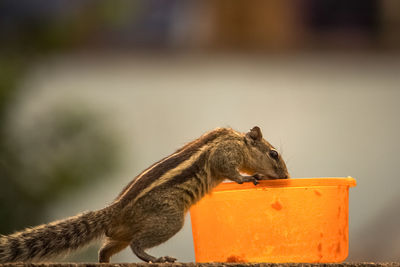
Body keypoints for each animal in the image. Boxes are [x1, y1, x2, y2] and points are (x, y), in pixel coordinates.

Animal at [0, 127, 288, 264]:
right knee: (138, 245)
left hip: (123, 233)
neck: (237, 140)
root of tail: (115, 209)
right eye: (273, 153)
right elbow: (229, 169)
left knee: (107, 248)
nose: (285, 175)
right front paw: (248, 178)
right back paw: (158, 259)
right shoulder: (225, 153)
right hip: (169, 221)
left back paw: (106, 262)